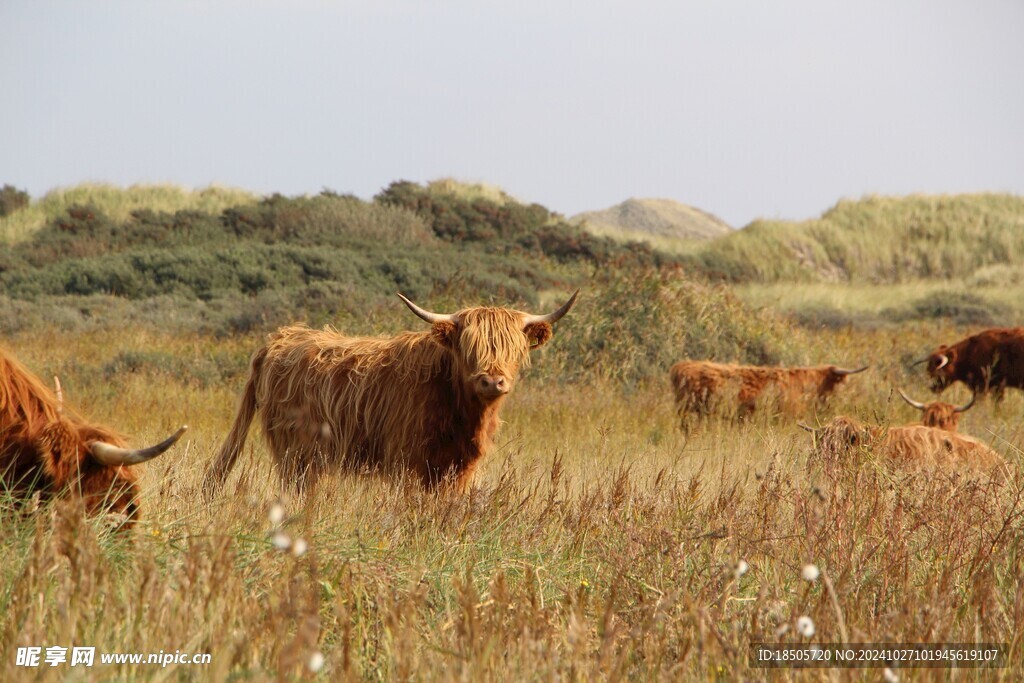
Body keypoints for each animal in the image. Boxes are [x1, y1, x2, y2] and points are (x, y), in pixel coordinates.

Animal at [203, 290, 581, 493]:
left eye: (512, 348)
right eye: (468, 348)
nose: (492, 381)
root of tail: (280, 339)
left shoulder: (459, 468)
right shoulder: (408, 461)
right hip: (297, 453)